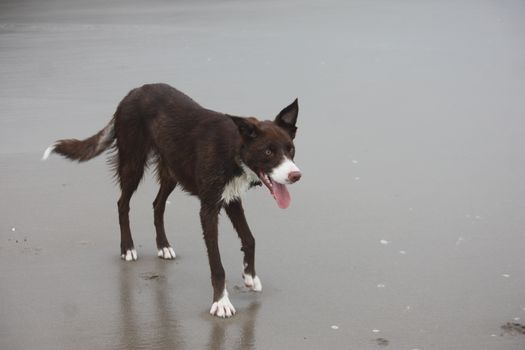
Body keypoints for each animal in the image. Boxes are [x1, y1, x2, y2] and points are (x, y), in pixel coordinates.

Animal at [43, 83, 300, 318]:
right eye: (268, 151)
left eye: (291, 149)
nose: (296, 176)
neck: (233, 149)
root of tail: (132, 93)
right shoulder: (208, 208)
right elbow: (217, 264)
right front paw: (221, 302)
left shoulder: (231, 199)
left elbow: (249, 238)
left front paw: (250, 276)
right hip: (133, 163)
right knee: (122, 204)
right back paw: (127, 248)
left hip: (171, 171)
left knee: (157, 205)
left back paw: (163, 246)